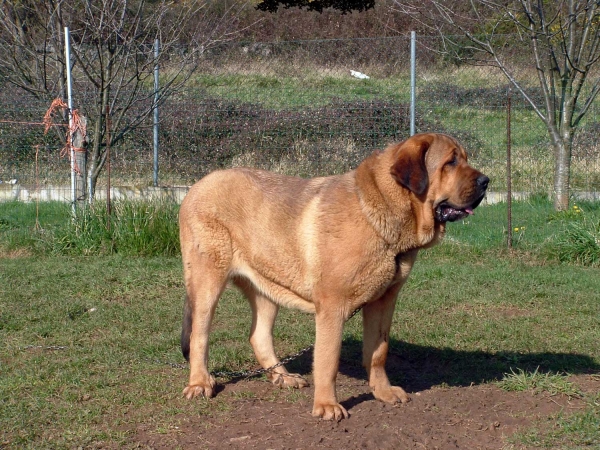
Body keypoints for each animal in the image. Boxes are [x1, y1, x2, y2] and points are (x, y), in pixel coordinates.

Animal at [178, 132, 488, 420]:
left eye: (465, 158)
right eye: (450, 162)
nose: (486, 181)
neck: (383, 213)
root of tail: (196, 186)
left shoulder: (384, 301)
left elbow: (378, 352)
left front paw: (383, 392)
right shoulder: (332, 305)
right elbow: (328, 359)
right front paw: (327, 405)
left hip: (266, 286)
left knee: (259, 335)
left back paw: (283, 377)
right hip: (207, 283)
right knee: (199, 335)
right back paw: (199, 383)